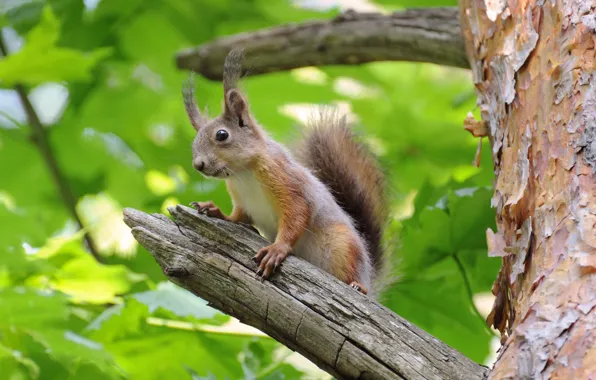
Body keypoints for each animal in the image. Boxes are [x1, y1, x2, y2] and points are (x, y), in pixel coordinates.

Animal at [183, 50, 386, 298]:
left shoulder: (286, 181)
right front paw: (215, 211)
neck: (243, 174)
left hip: (342, 245)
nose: (198, 165)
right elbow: (238, 217)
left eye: (222, 135)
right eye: (195, 141)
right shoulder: (243, 202)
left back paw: (358, 286)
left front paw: (277, 249)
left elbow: (297, 214)